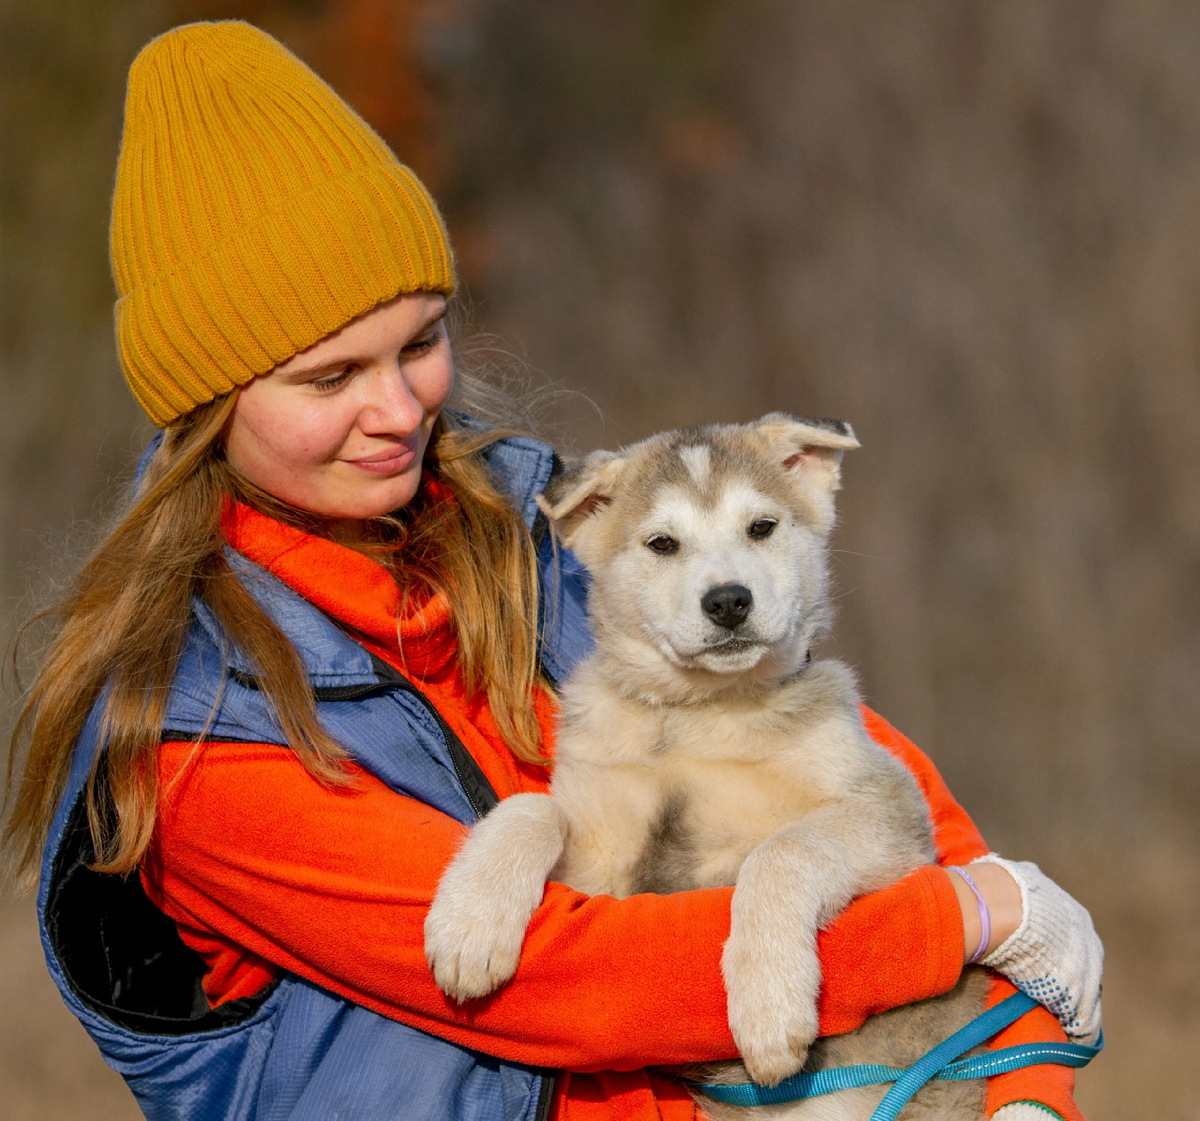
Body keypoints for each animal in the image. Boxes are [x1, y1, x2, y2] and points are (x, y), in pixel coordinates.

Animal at [427, 417, 988, 1118]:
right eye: (662, 543)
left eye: (762, 527)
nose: (727, 602)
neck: (702, 718)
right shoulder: (603, 872)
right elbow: (531, 806)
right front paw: (470, 923)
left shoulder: (886, 808)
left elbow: (781, 851)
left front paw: (769, 1007)